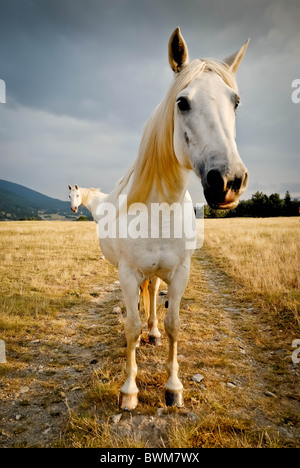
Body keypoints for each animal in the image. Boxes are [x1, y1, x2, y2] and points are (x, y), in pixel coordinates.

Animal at [96, 29, 248, 410]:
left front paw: (173, 387)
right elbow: (130, 327)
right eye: (182, 103)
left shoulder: (180, 272)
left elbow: (174, 324)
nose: (228, 180)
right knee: (144, 298)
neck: (159, 212)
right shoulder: (127, 274)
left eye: (235, 102)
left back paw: (152, 334)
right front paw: (129, 390)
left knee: (153, 293)